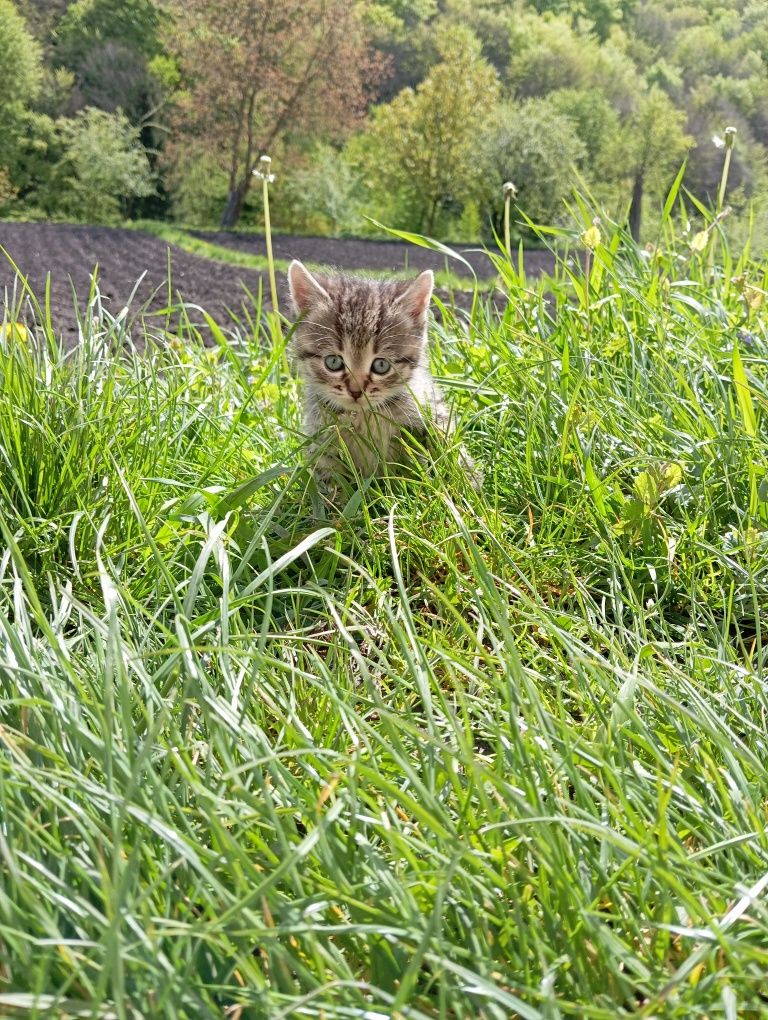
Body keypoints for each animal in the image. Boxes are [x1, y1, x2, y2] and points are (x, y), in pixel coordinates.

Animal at [285, 255, 454, 477]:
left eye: (381, 365)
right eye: (333, 362)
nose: (356, 391)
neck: (364, 417)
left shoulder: (429, 414)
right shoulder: (321, 441)